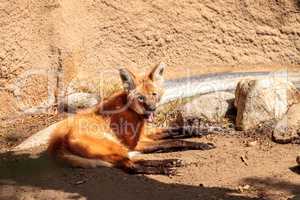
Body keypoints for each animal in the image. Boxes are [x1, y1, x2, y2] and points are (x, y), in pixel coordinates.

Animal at [48, 63, 214, 175]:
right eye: (141, 98)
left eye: (154, 95)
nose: (151, 109)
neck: (131, 111)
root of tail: (60, 143)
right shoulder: (137, 143)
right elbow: (174, 142)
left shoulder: (145, 134)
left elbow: (177, 133)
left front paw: (200, 133)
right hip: (116, 146)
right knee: (132, 167)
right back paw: (167, 167)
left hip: (119, 148)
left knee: (133, 161)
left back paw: (171, 161)